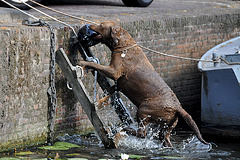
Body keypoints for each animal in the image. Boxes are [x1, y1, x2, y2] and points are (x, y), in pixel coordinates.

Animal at [79, 21, 209, 148]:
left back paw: (126, 128)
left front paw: (83, 62)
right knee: (164, 138)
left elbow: (98, 66)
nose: (87, 25)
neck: (124, 47)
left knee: (142, 133)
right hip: (168, 125)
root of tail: (177, 107)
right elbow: (115, 87)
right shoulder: (120, 81)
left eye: (101, 25)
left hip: (144, 109)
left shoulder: (114, 71)